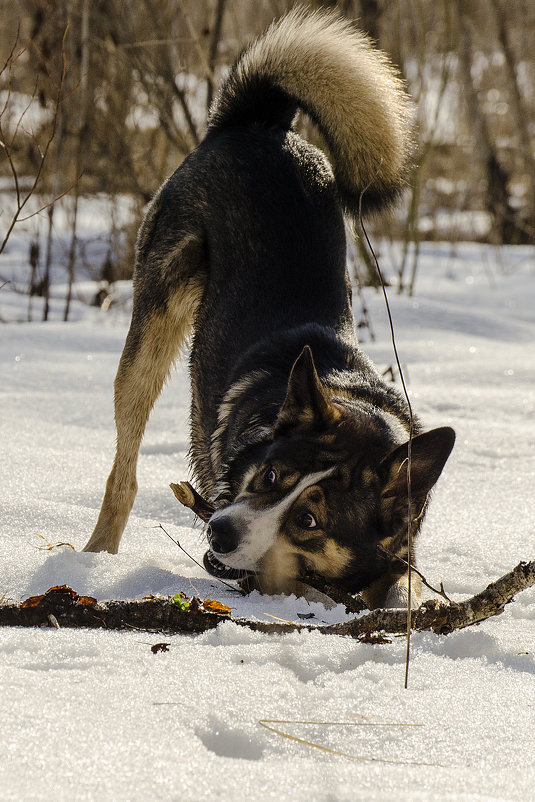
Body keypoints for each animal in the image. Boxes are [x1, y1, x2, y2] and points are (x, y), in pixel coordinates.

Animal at [85, 7, 456, 608]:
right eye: (269, 477)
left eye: (308, 521)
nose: (219, 530)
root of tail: (260, 122)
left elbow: (396, 585)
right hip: (157, 315)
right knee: (125, 467)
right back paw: (93, 555)